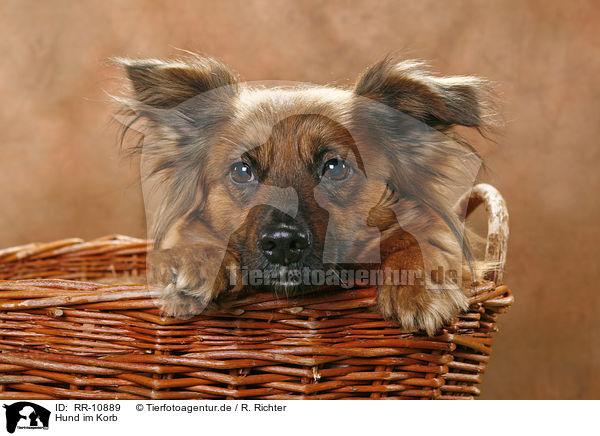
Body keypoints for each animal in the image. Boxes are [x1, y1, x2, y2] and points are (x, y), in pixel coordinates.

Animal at [115, 53, 490, 334]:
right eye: (242, 171)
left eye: (335, 167)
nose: (283, 243)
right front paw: (195, 260)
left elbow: (421, 235)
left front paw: (422, 285)